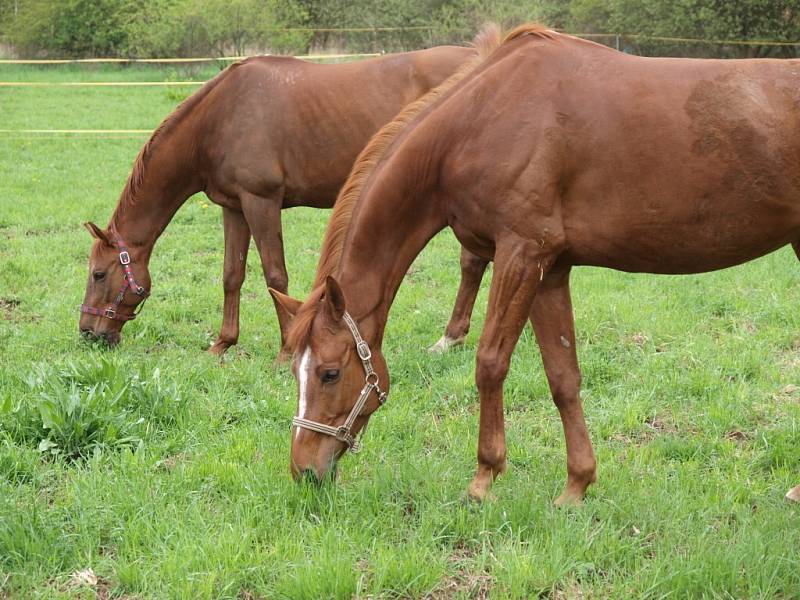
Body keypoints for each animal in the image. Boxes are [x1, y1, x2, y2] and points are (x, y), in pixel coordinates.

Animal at [79, 48, 488, 356]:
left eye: (98, 273)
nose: (87, 332)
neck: (220, 117)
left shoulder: (261, 201)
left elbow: (275, 275)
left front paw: (288, 347)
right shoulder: (234, 207)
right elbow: (232, 274)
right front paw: (224, 343)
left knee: (472, 263)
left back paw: (450, 336)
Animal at [274, 24, 800, 502]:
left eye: (329, 373)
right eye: (294, 370)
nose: (303, 472)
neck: (478, 121)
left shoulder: (521, 254)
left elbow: (490, 363)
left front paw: (484, 478)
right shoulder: (551, 270)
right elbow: (563, 376)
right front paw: (577, 485)